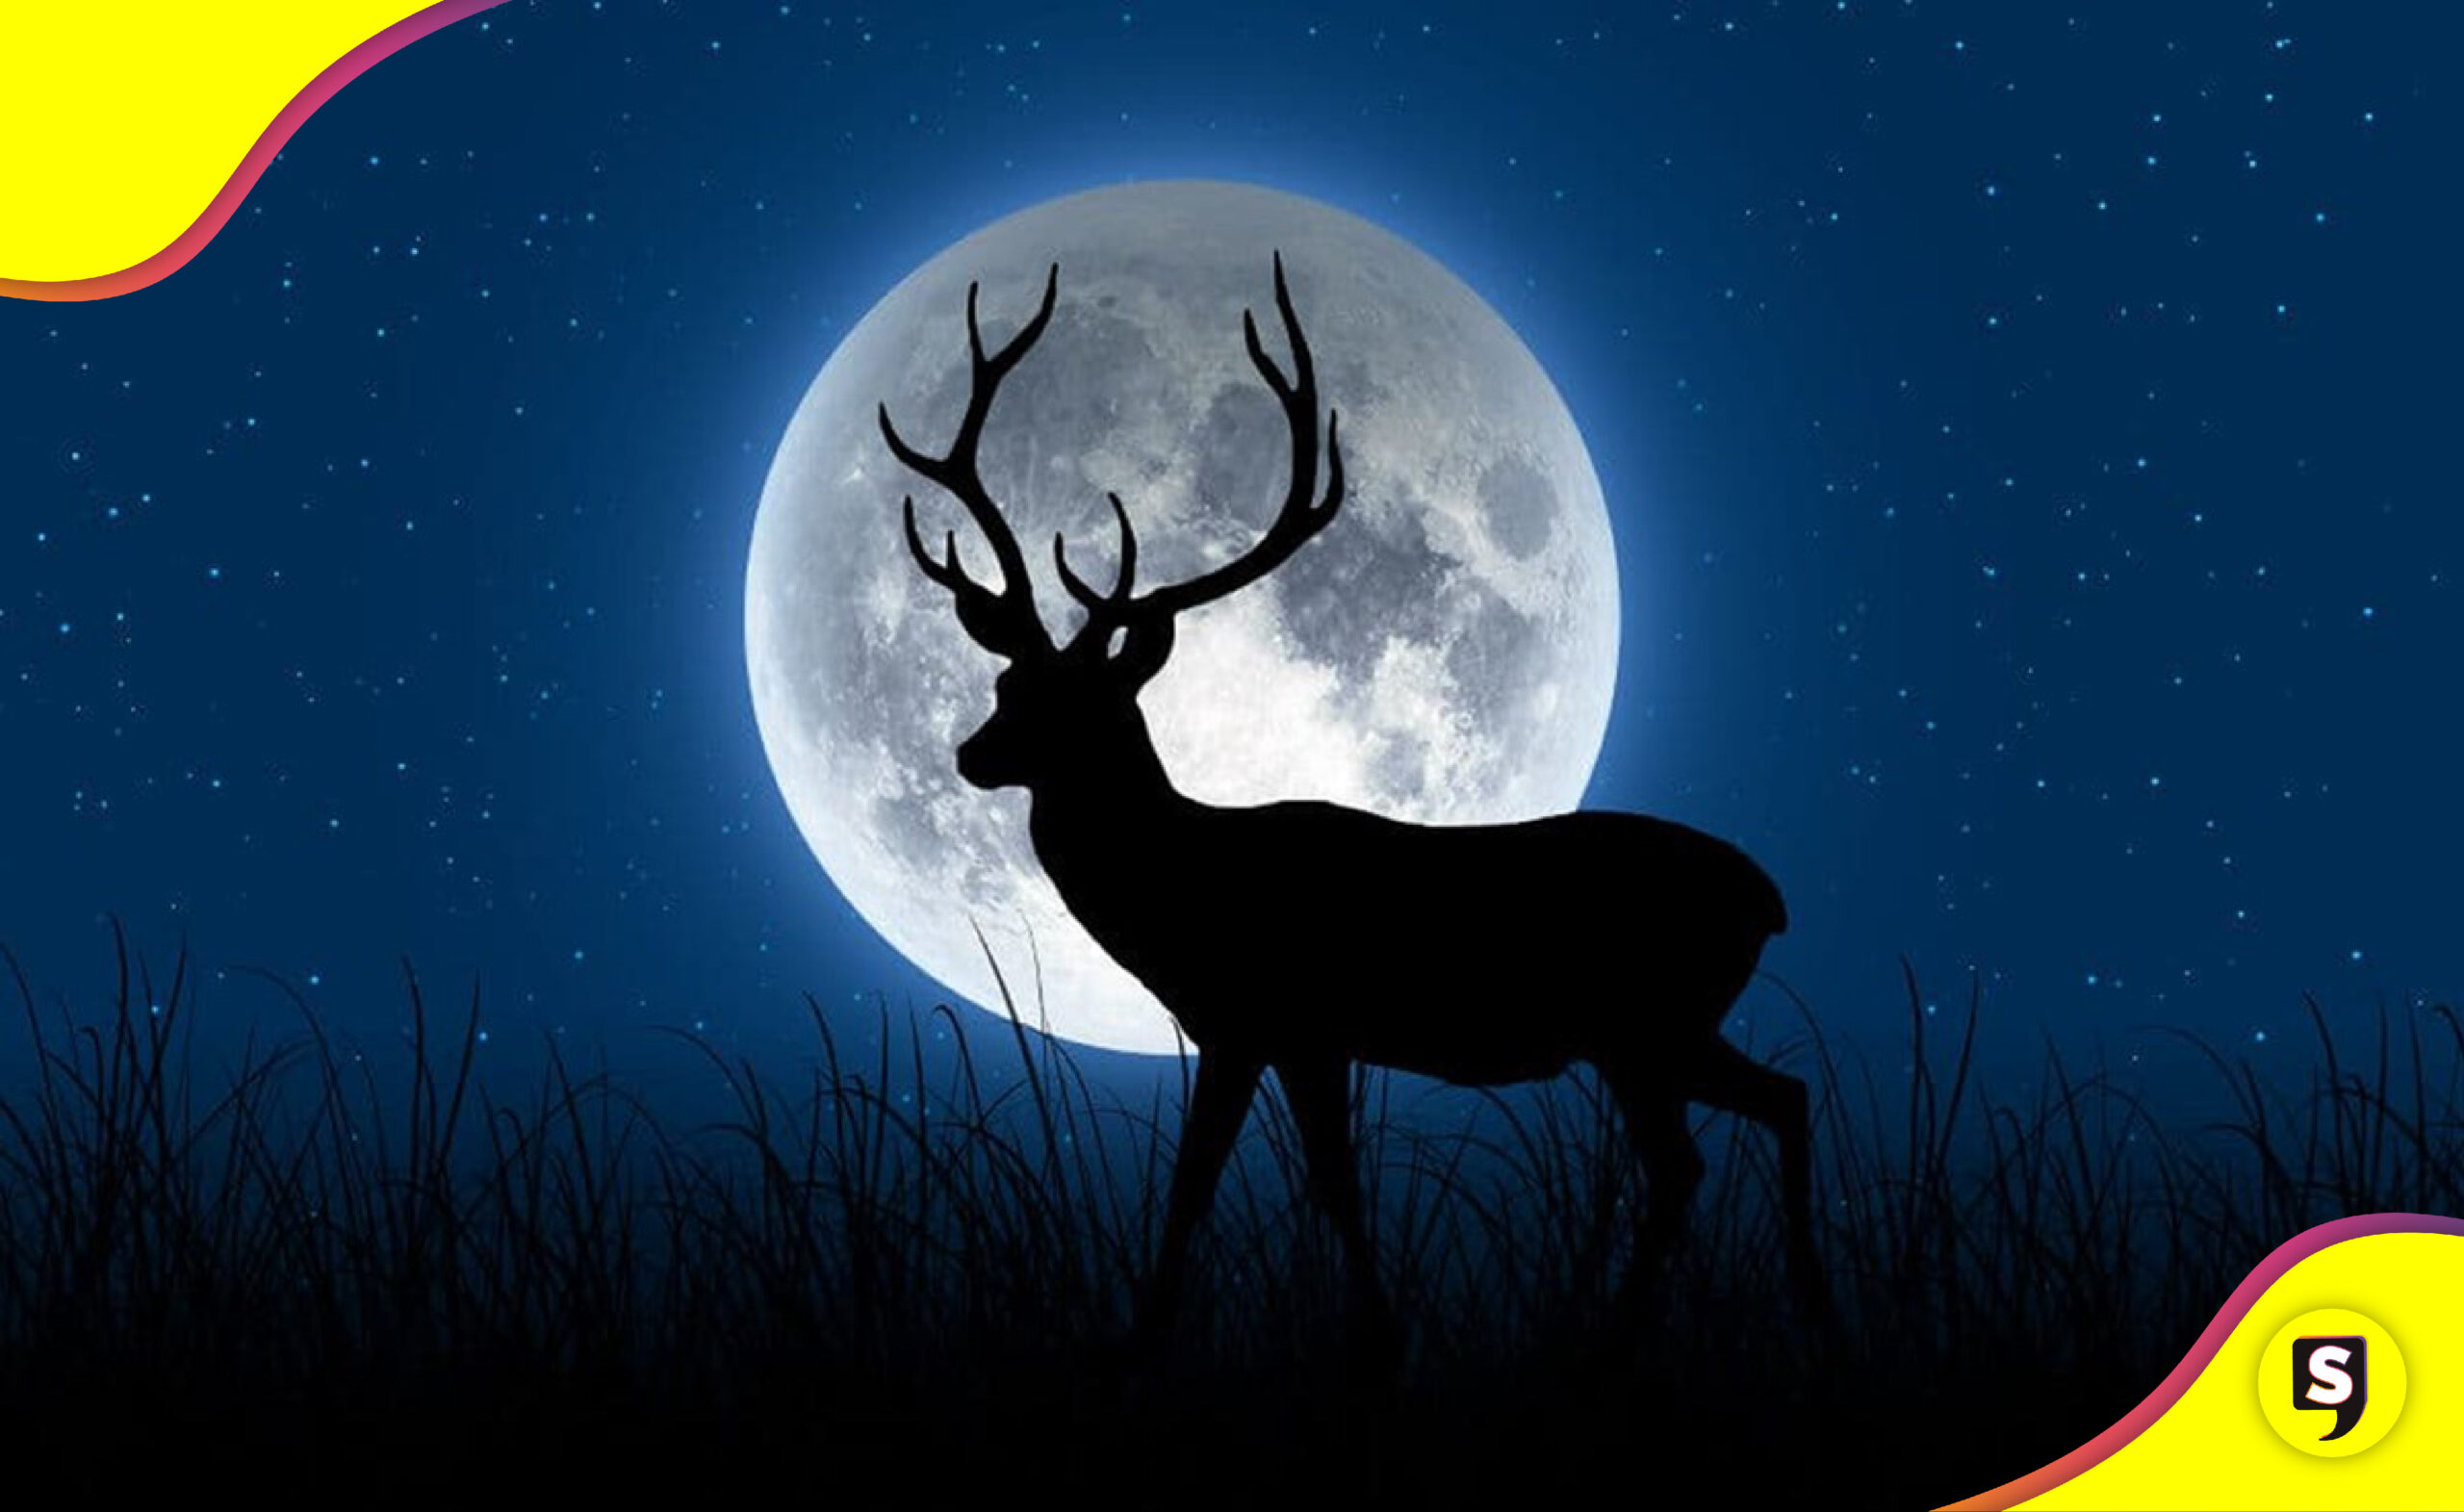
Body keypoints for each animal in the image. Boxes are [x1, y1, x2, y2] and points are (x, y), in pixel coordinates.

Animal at [877, 253, 1825, 1360]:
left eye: (1079, 704)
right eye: (1005, 683)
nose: (970, 753)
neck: (1183, 889)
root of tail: (1768, 899)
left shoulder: (1284, 1019)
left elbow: (1298, 1185)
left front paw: (1365, 1336)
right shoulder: (1253, 1030)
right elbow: (1222, 1188)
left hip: (1643, 1022)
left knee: (1684, 1158)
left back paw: (1611, 1334)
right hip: (1665, 1028)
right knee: (1780, 1099)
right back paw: (1802, 1303)